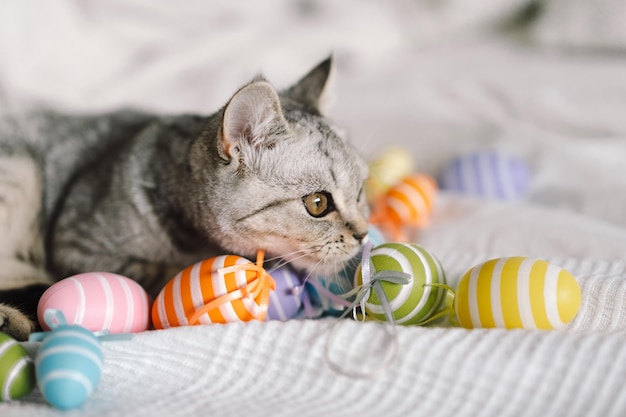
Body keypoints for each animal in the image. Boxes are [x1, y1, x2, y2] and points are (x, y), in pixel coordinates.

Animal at [0, 57, 368, 340]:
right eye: (318, 204)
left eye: (360, 193)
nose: (364, 234)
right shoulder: (77, 244)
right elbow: (153, 274)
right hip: (20, 172)